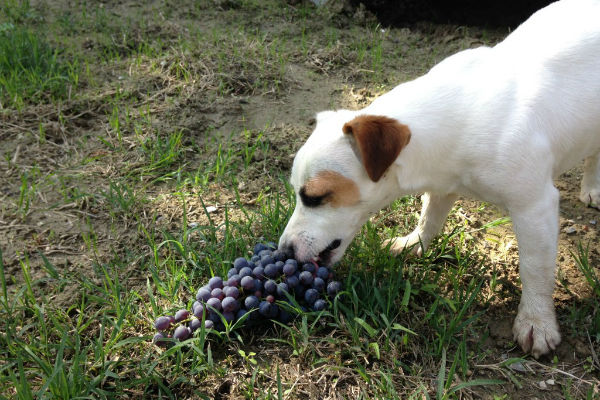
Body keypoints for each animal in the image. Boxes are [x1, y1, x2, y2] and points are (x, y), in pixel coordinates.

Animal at [278, 0, 600, 358]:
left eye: (314, 197)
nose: (283, 252)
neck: (455, 116)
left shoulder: (534, 207)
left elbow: (535, 267)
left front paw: (536, 321)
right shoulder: (442, 184)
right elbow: (429, 218)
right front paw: (413, 243)